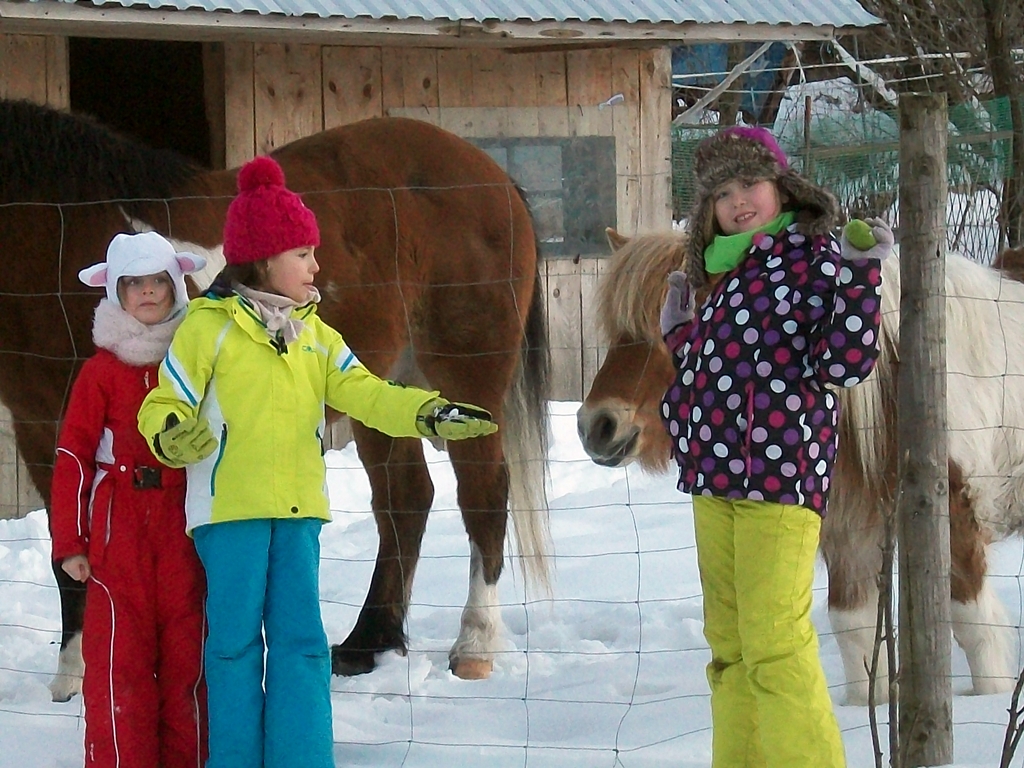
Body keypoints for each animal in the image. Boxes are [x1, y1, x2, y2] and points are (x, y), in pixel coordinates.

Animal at [0, 99, 552, 700]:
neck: (61, 232)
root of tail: (493, 175)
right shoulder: (41, 424)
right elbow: (69, 548)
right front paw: (73, 675)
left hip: (467, 376)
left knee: (482, 492)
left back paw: (473, 645)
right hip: (384, 388)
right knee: (405, 498)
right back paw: (368, 644)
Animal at [577, 227, 1024, 704]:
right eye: (618, 331)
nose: (596, 425)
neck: (895, 384)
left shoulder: (954, 519)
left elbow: (976, 627)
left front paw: (992, 700)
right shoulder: (849, 531)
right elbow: (855, 632)